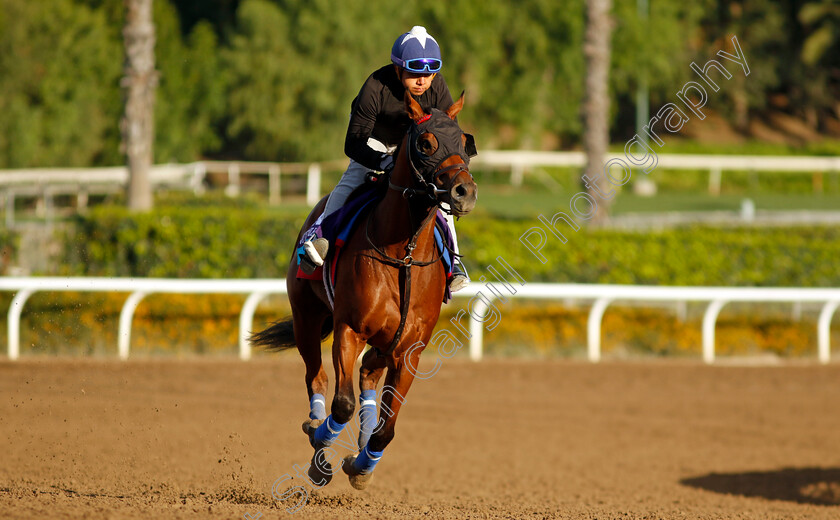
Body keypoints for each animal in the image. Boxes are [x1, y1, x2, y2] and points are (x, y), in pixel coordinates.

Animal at [249, 91, 476, 490]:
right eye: (426, 142)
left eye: (464, 142)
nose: (464, 191)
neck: (403, 256)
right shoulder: (349, 329)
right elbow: (342, 404)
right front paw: (321, 449)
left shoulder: (409, 348)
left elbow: (387, 428)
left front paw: (362, 464)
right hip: (306, 318)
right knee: (317, 377)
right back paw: (317, 434)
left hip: (385, 342)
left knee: (369, 374)